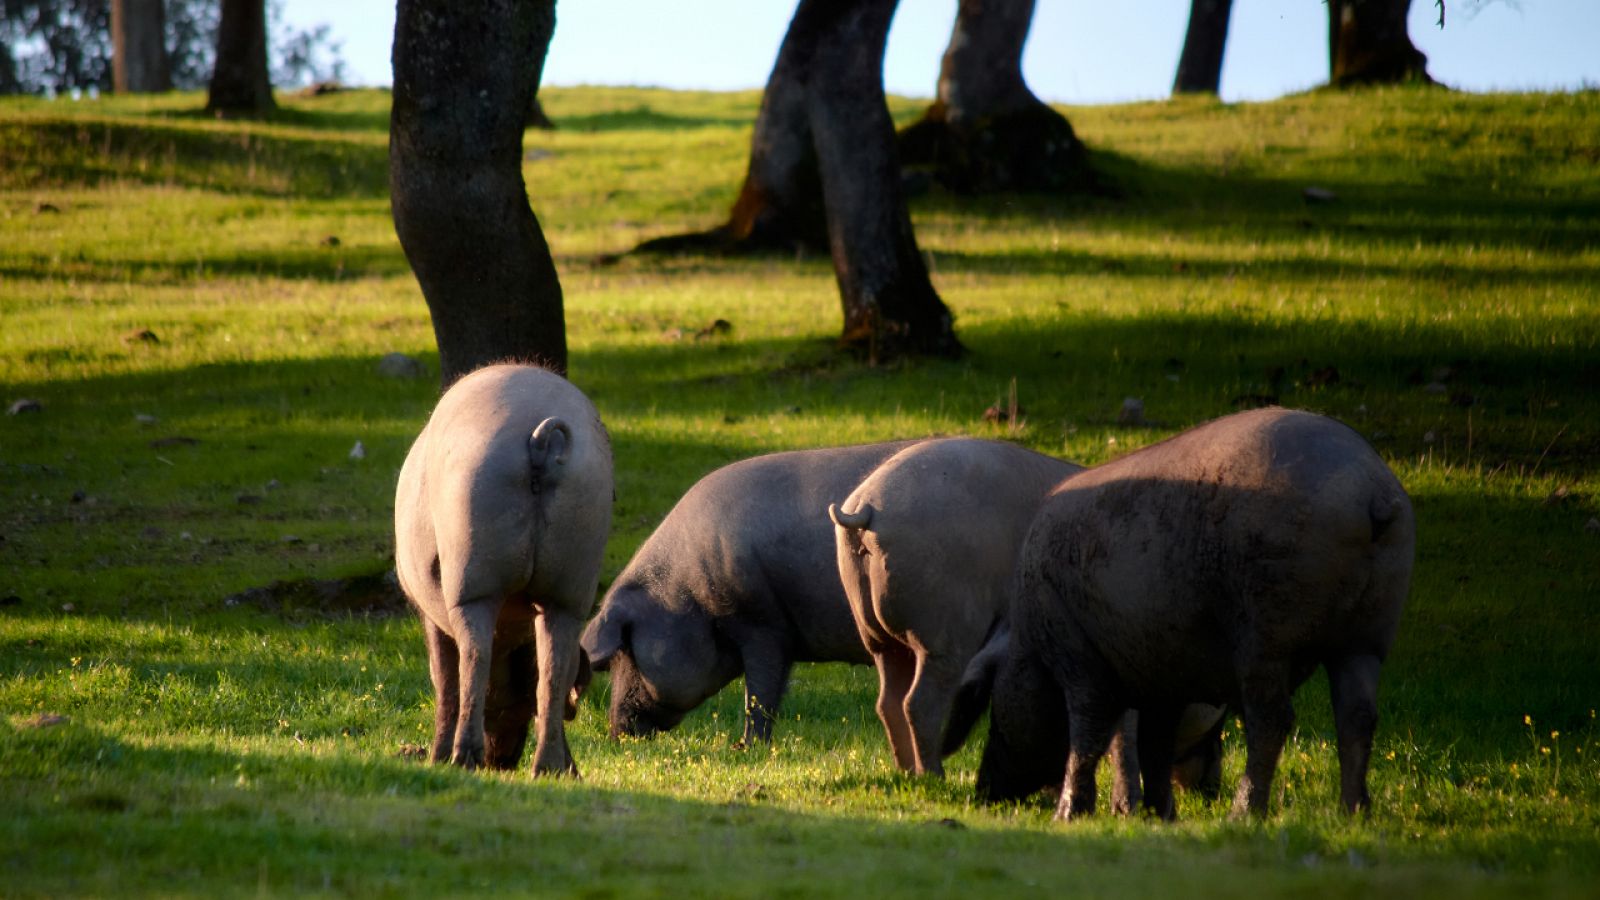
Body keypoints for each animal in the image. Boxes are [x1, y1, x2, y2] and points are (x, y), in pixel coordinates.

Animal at [393, 360, 611, 775]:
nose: (502, 762)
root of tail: (541, 438)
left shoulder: (429, 613)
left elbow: (444, 678)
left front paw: (435, 759)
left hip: (473, 575)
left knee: (473, 659)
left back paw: (461, 759)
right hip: (572, 584)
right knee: (553, 672)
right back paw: (550, 769)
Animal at [582, 438, 921, 739]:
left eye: (625, 649)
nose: (616, 732)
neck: (688, 595)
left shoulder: (763, 623)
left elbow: (760, 693)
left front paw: (747, 746)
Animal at [832, 438, 1081, 775]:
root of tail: (866, 507)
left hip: (880, 638)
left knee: (888, 702)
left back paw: (909, 772)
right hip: (944, 635)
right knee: (919, 703)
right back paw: (934, 775)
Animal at [972, 409, 1414, 816]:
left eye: (995, 712)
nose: (982, 792)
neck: (1032, 647)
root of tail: (1370, 490)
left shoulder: (1078, 654)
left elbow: (1088, 733)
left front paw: (1068, 816)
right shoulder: (1163, 675)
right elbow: (1153, 744)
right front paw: (1158, 816)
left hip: (1268, 631)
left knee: (1272, 719)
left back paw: (1243, 815)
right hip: (1369, 635)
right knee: (1357, 717)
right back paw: (1353, 814)